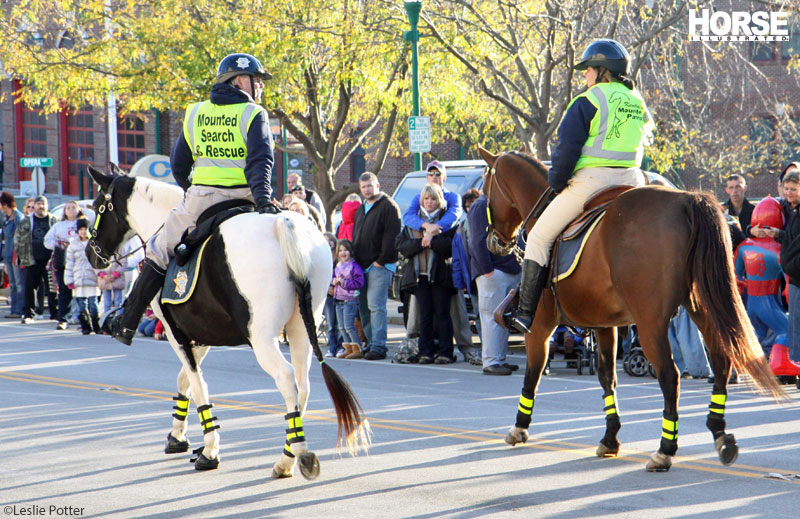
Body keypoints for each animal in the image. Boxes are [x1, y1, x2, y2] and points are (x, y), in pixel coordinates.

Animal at [83, 166, 370, 480]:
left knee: (286, 378)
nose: (91, 254)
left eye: (97, 206)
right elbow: (185, 379)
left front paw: (209, 450)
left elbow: (198, 385)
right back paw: (287, 457)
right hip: (301, 329)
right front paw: (178, 435)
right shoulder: (202, 334)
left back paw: (300, 453)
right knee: (302, 384)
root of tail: (282, 222)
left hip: (262, 337)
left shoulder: (175, 333)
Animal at [478, 148, 784, 474]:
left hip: (651, 323)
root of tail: (686, 200)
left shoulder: (540, 325)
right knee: (721, 361)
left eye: (485, 189)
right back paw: (720, 434)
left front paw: (519, 427)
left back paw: (665, 450)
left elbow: (533, 372)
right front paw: (610, 438)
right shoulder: (604, 325)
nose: (494, 242)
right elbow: (606, 377)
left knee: (670, 375)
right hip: (702, 307)